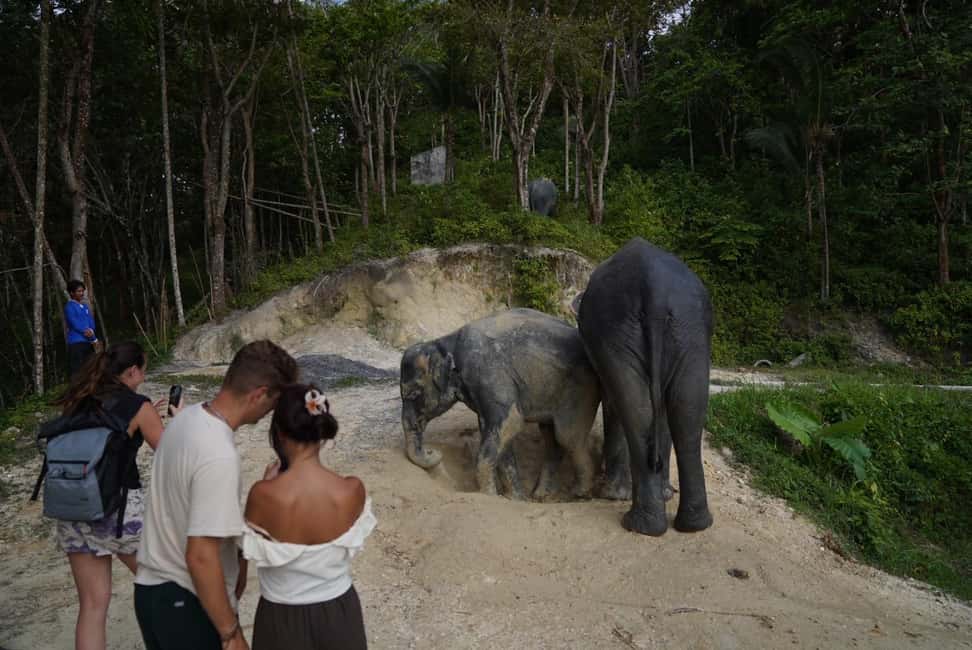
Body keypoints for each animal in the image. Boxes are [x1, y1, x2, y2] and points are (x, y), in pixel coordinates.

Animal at [400, 308, 601, 500]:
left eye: (413, 394)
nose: (432, 451)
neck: (445, 342)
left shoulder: (488, 373)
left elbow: (511, 422)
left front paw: (488, 495)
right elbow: (496, 431)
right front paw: (516, 498)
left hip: (581, 390)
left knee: (567, 437)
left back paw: (580, 492)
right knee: (552, 438)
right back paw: (541, 495)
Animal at [577, 237, 713, 536]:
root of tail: (656, 291)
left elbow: (613, 402)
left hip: (619, 329)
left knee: (637, 408)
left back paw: (635, 520)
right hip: (689, 329)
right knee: (685, 409)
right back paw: (690, 524)